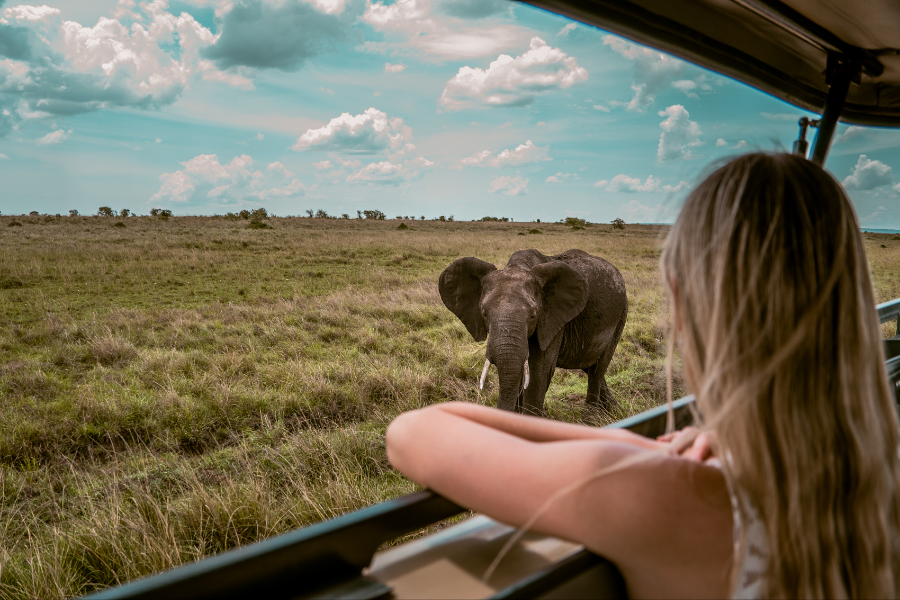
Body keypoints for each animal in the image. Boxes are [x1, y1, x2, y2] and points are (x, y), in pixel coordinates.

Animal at [438, 248, 624, 412]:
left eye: (533, 315)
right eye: (484, 313)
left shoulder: (552, 320)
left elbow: (538, 374)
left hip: (619, 319)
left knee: (597, 372)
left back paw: (592, 419)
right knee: (591, 368)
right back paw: (614, 409)